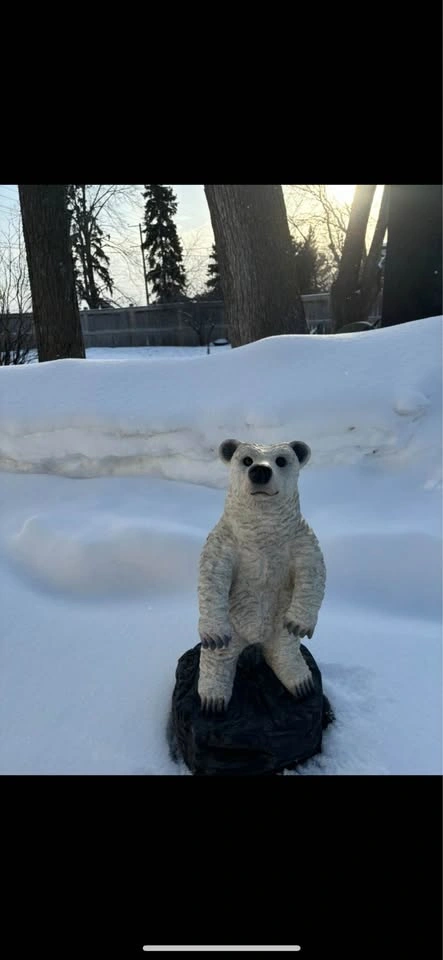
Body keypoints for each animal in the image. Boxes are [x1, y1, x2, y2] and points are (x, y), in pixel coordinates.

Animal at [197, 438, 326, 713]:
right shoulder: (225, 540)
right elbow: (211, 575)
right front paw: (213, 634)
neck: (262, 531)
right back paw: (213, 699)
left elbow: (313, 570)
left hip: (278, 622)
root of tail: (255, 640)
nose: (259, 471)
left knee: (284, 646)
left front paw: (300, 622)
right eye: (246, 459)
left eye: (281, 460)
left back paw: (301, 682)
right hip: (234, 624)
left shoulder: (299, 537)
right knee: (219, 656)